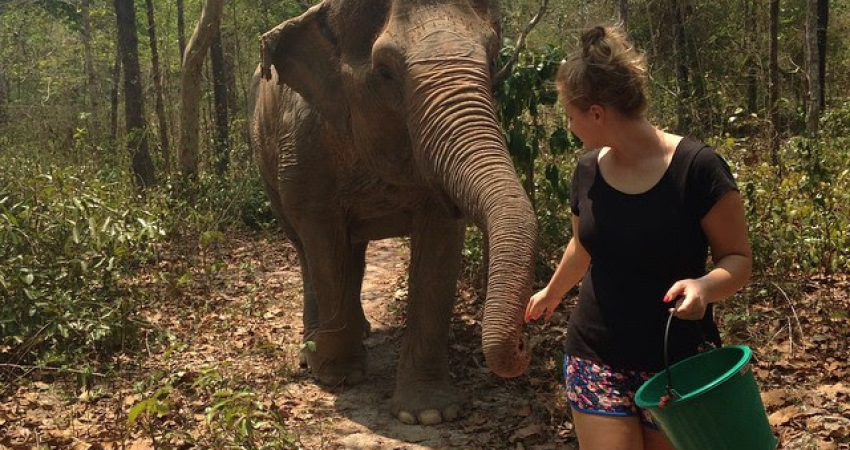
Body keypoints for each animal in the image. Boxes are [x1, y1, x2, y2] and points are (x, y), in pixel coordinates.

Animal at [248, 0, 536, 426]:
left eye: (493, 58)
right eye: (384, 72)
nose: (523, 343)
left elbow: (438, 246)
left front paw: (429, 413)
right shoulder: (302, 148)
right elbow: (323, 242)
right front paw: (339, 377)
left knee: (354, 252)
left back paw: (361, 332)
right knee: (306, 250)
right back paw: (313, 352)